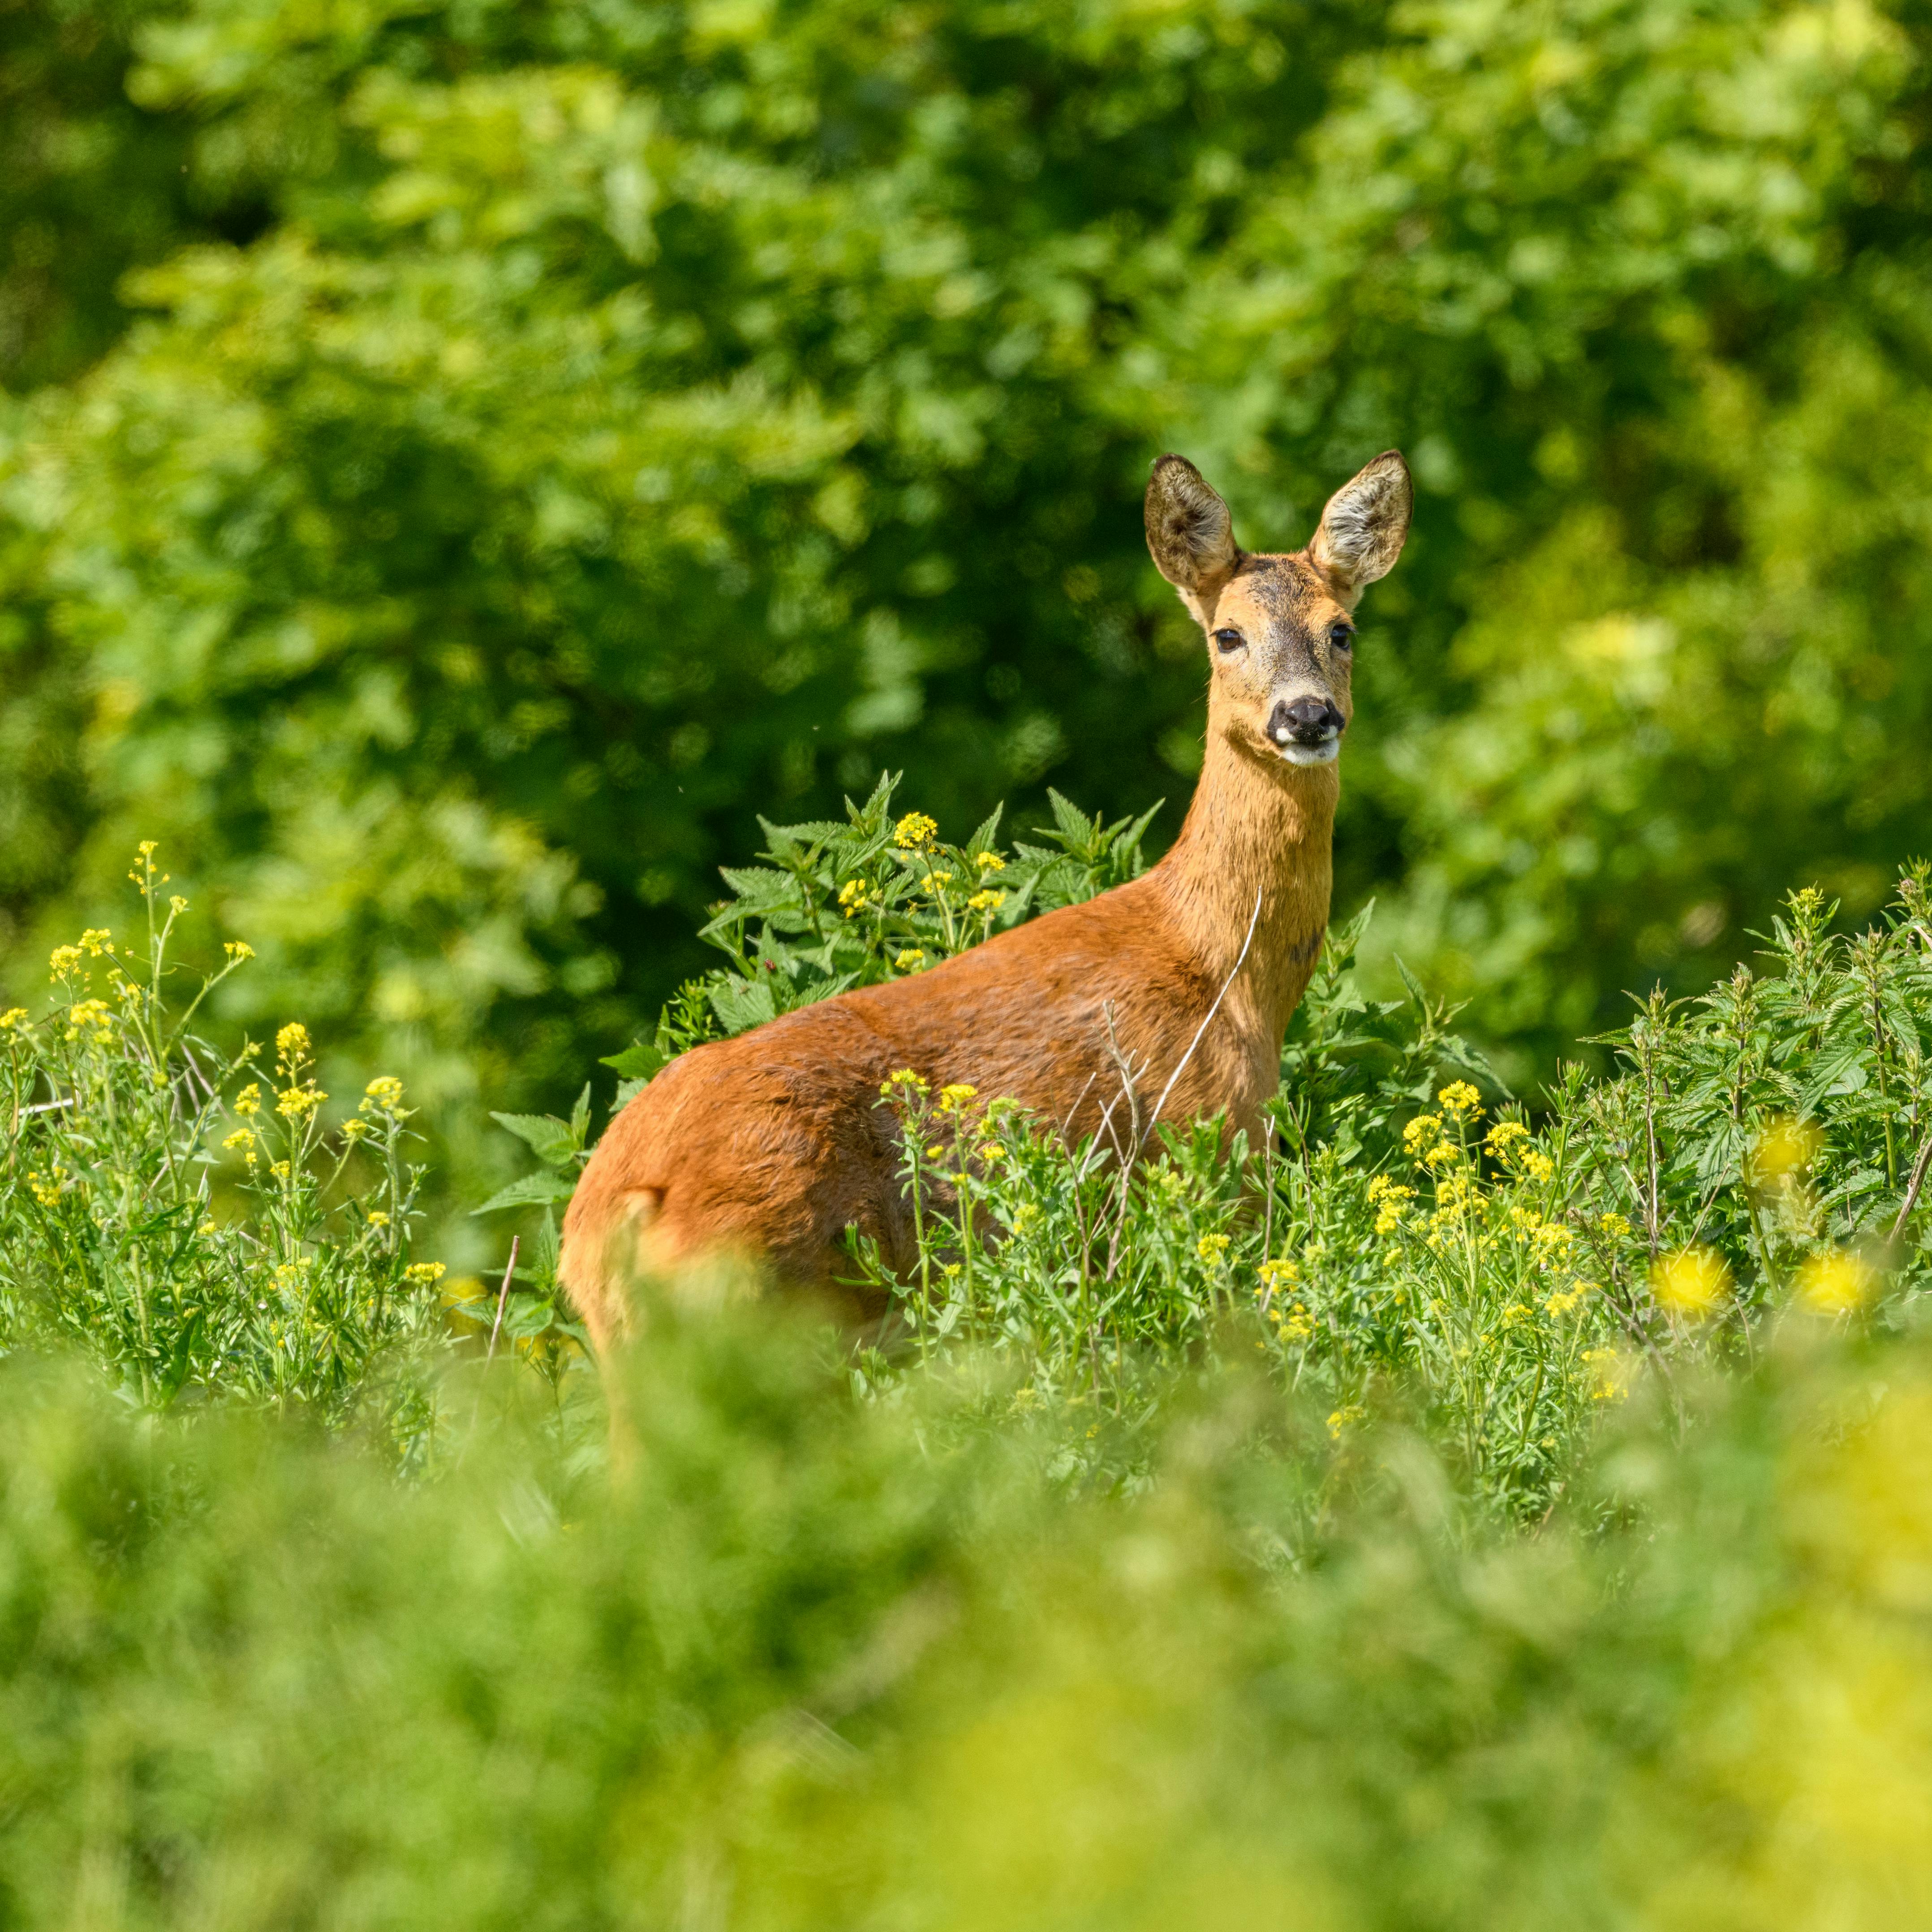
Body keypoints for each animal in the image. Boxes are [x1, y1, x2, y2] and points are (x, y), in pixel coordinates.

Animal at [560, 454, 1406, 1360]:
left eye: (1341, 630)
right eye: (1227, 635)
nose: (1307, 714)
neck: (1228, 972)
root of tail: (607, 1219)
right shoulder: (1211, 1154)